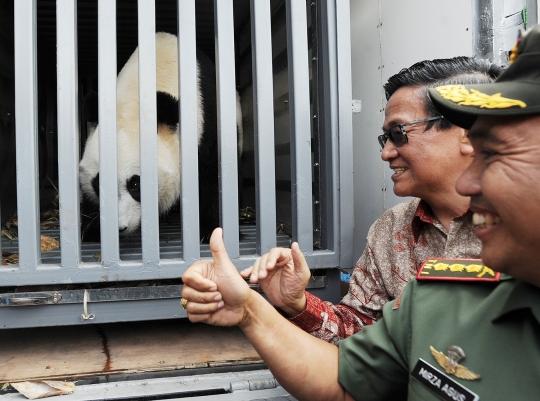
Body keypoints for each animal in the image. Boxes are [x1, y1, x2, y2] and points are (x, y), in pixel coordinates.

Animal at [78, 31, 243, 242]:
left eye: (135, 183)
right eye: (99, 182)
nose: (120, 227)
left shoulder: (206, 119)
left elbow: (213, 173)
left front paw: (211, 230)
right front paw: (93, 230)